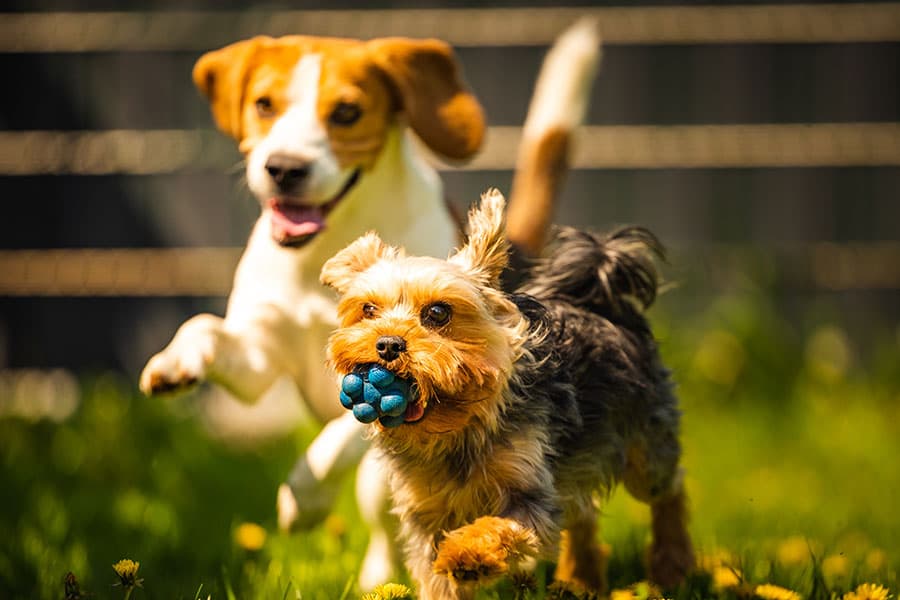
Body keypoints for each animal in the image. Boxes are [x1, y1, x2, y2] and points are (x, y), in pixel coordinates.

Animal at [141, 19, 600, 592]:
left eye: (346, 112)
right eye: (265, 104)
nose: (284, 168)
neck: (319, 252)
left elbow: (341, 433)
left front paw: (302, 499)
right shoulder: (259, 358)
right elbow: (205, 326)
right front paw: (173, 364)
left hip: (385, 482)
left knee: (390, 525)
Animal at [320, 190, 692, 596]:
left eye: (438, 312)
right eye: (368, 309)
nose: (387, 344)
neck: (455, 430)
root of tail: (599, 299)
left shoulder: (531, 490)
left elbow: (502, 527)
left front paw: (468, 555)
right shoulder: (424, 510)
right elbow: (437, 581)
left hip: (644, 441)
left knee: (668, 488)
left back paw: (672, 566)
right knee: (583, 509)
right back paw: (581, 578)